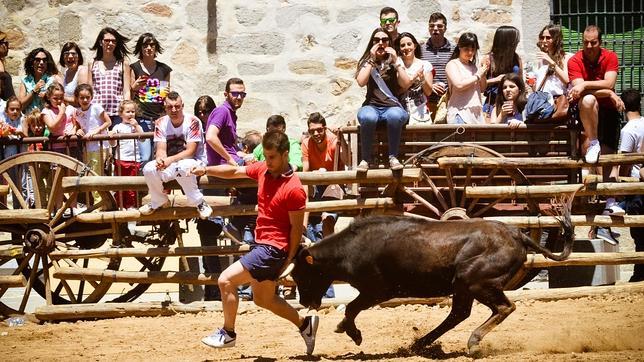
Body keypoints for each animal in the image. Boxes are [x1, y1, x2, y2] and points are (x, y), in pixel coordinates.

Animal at [290, 214, 572, 354]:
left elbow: (351, 308)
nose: (304, 301)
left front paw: (354, 334)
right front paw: (343, 327)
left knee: (503, 308)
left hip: (473, 280)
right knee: (459, 313)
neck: (351, 248)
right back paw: (420, 344)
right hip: (463, 286)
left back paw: (473, 342)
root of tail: (517, 234)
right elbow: (351, 309)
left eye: (302, 275)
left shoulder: (378, 290)